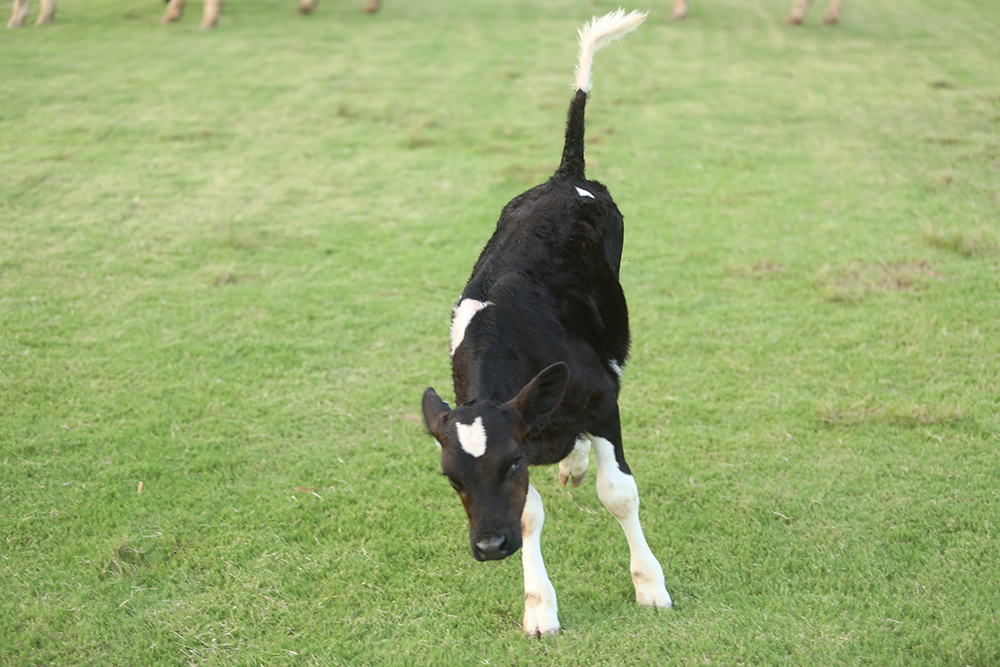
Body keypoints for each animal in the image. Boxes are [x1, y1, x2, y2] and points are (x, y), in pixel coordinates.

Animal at [421, 9, 671, 637]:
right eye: (451, 477)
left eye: (509, 461)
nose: (488, 546)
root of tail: (564, 175)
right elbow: (530, 513)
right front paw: (538, 606)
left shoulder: (602, 398)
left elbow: (620, 493)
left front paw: (650, 585)